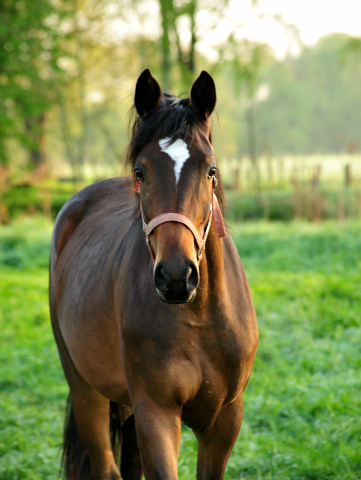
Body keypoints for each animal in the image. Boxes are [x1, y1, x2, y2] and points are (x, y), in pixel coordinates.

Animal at [49, 68, 258, 480]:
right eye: (140, 171)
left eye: (211, 170)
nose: (176, 277)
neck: (198, 317)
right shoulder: (156, 413)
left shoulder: (226, 418)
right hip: (86, 390)